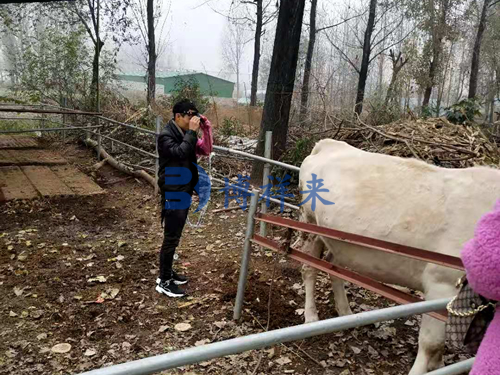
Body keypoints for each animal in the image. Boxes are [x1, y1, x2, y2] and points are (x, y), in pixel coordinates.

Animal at [298, 140, 498, 374]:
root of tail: (330, 144)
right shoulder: (441, 283)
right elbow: (431, 342)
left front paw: (438, 364)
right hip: (310, 224)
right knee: (309, 268)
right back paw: (311, 316)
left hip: (341, 242)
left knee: (332, 266)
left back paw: (345, 311)